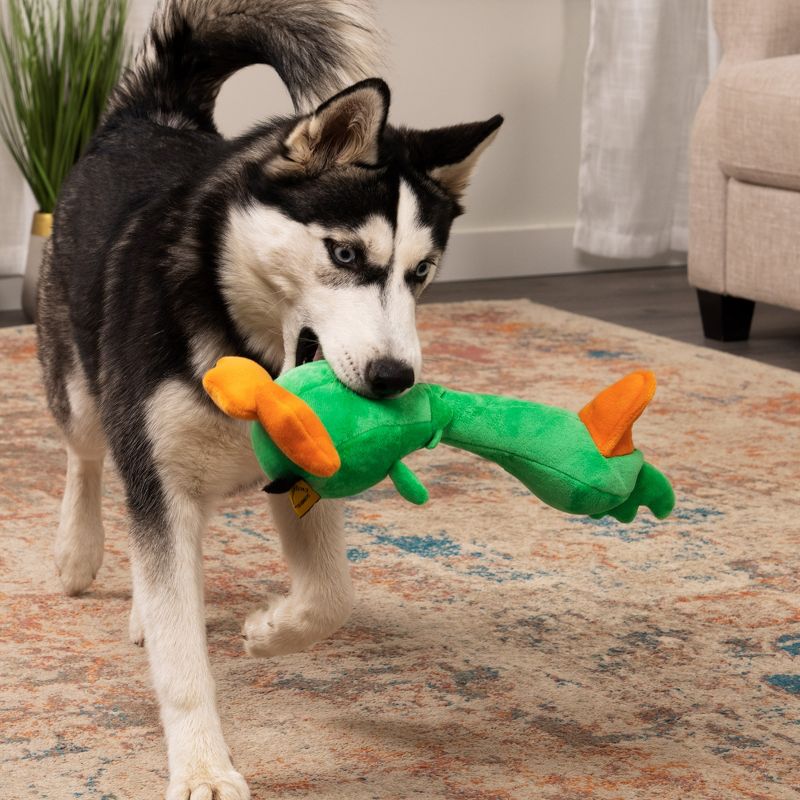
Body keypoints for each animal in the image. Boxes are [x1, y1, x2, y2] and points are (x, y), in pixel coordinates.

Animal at [37, 3, 504, 796]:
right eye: (345, 253)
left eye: (422, 272)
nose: (394, 377)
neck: (245, 349)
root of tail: (152, 117)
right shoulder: (159, 473)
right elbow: (182, 661)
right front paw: (202, 766)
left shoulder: (304, 470)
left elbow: (332, 595)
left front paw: (271, 629)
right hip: (80, 380)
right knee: (87, 455)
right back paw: (80, 550)